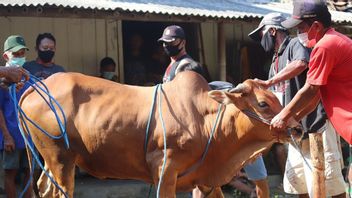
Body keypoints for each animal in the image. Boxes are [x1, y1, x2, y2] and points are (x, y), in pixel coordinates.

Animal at [20, 71, 300, 198]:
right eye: (262, 103)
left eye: (277, 98)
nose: (297, 127)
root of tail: (36, 85)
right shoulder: (165, 169)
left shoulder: (206, 179)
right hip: (61, 159)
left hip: (51, 160)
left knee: (44, 188)